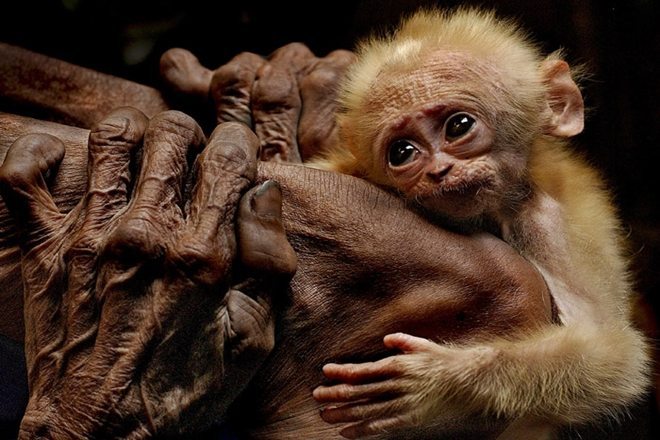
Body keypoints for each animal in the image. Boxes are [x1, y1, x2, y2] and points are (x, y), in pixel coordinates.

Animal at [310, 6, 648, 440]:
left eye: (458, 126)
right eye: (402, 152)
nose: (438, 171)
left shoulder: (548, 225)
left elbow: (612, 354)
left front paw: (440, 384)